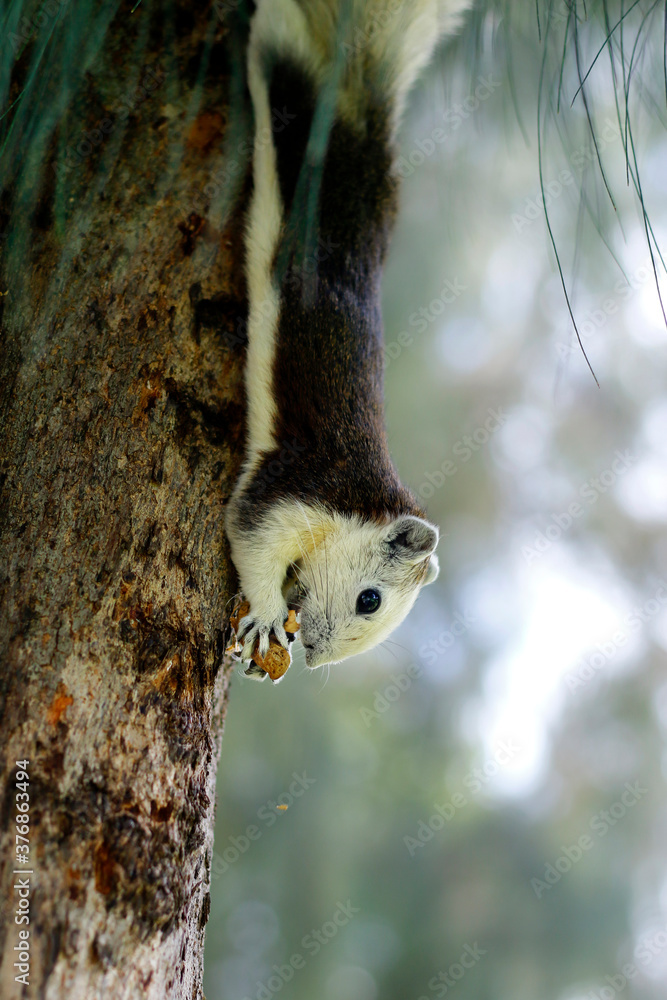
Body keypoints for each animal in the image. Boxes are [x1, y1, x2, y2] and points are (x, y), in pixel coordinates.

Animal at [224, 0, 470, 680]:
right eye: (369, 599)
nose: (314, 658)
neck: (361, 502)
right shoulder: (296, 494)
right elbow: (251, 540)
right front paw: (264, 616)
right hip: (284, 73)